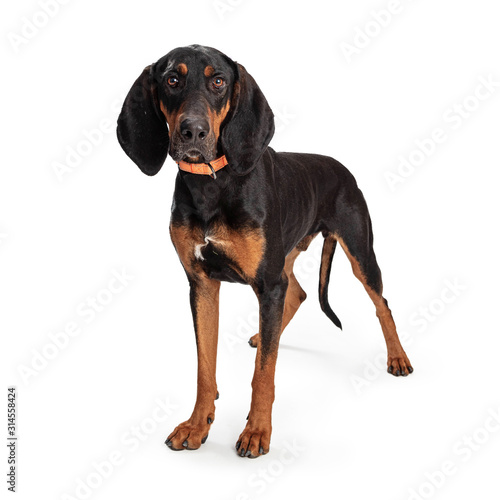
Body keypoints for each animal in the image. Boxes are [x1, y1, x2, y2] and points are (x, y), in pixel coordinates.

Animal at [117, 45, 414, 458]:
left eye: (218, 81)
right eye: (172, 80)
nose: (193, 131)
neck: (213, 184)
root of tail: (341, 167)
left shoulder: (267, 283)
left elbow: (263, 374)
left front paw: (257, 431)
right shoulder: (202, 285)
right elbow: (205, 367)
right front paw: (197, 424)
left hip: (358, 251)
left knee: (380, 302)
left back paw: (397, 357)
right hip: (284, 258)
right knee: (299, 294)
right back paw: (263, 335)